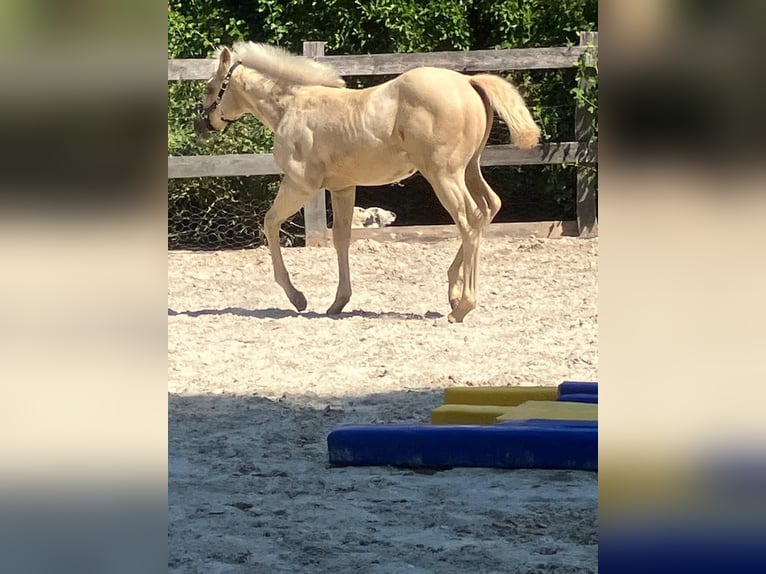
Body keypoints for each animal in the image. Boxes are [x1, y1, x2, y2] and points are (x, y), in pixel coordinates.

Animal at [194, 42, 540, 323]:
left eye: (210, 87)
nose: (200, 126)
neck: (292, 106)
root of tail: (468, 81)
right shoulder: (342, 187)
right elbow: (341, 238)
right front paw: (338, 303)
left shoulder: (300, 185)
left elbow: (269, 223)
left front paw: (298, 298)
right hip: (470, 168)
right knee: (488, 209)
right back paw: (453, 292)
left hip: (444, 174)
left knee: (468, 220)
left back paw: (462, 306)